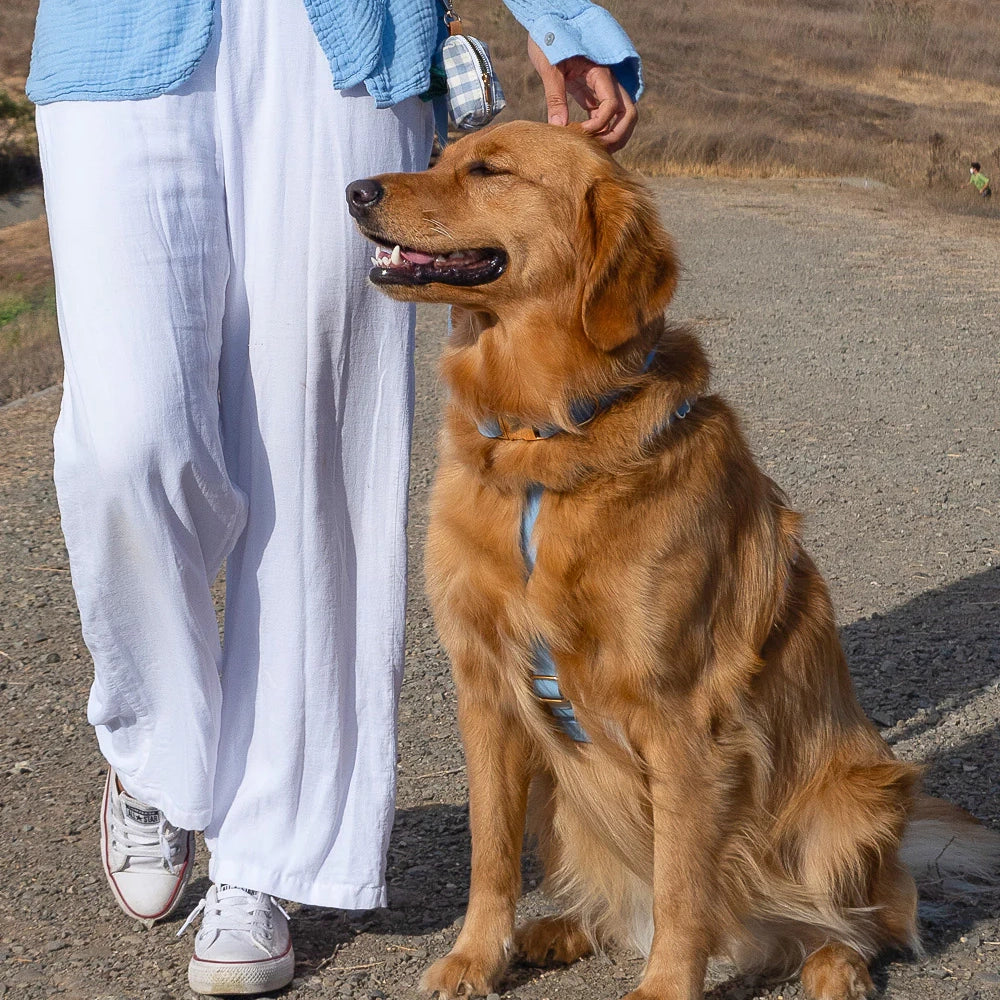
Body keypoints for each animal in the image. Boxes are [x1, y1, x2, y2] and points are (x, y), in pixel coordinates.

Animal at [346, 123, 1000, 1000]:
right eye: (441, 156)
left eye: (488, 170)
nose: (356, 191)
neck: (543, 441)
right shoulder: (484, 689)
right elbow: (491, 854)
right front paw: (478, 955)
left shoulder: (682, 712)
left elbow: (685, 882)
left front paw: (665, 986)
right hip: (566, 793)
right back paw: (560, 929)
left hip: (851, 801)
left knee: (862, 920)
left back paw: (833, 964)